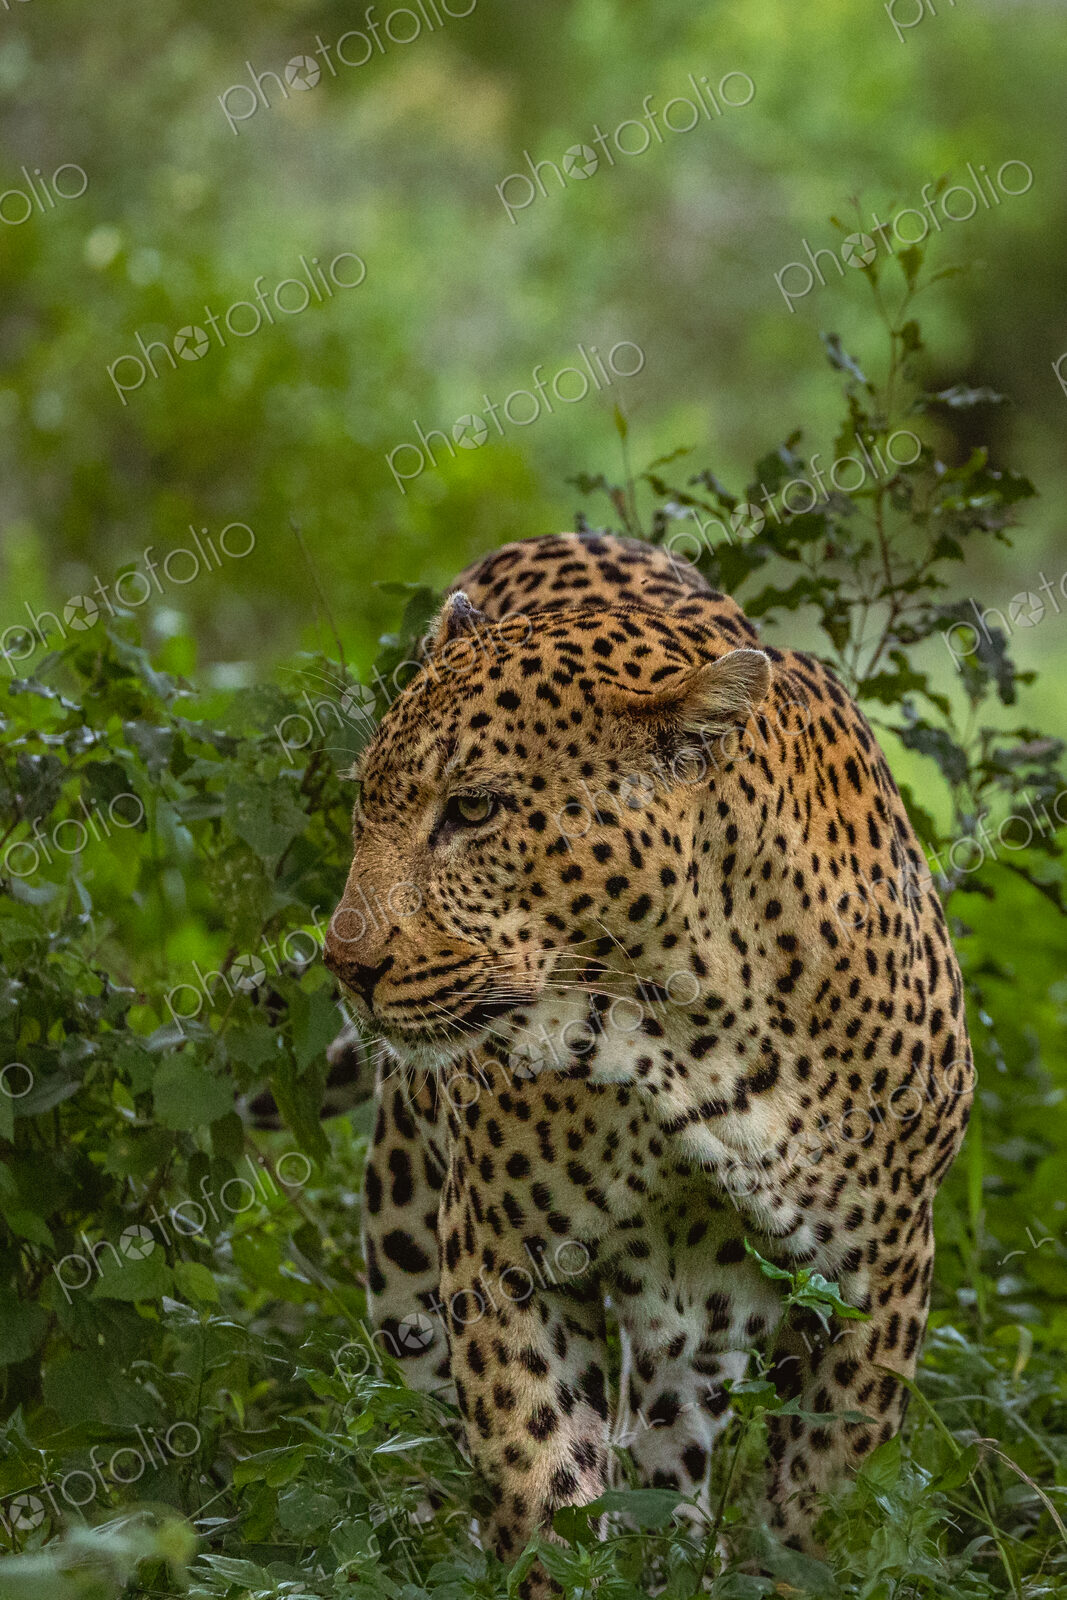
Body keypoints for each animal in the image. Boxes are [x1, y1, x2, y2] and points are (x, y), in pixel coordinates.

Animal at [322, 530, 974, 1578]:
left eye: (473, 810)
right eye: (366, 805)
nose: (345, 963)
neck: (682, 1029)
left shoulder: (879, 1280)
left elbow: (812, 1509)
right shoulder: (501, 1262)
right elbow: (545, 1486)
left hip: (699, 1332)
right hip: (407, 1256)